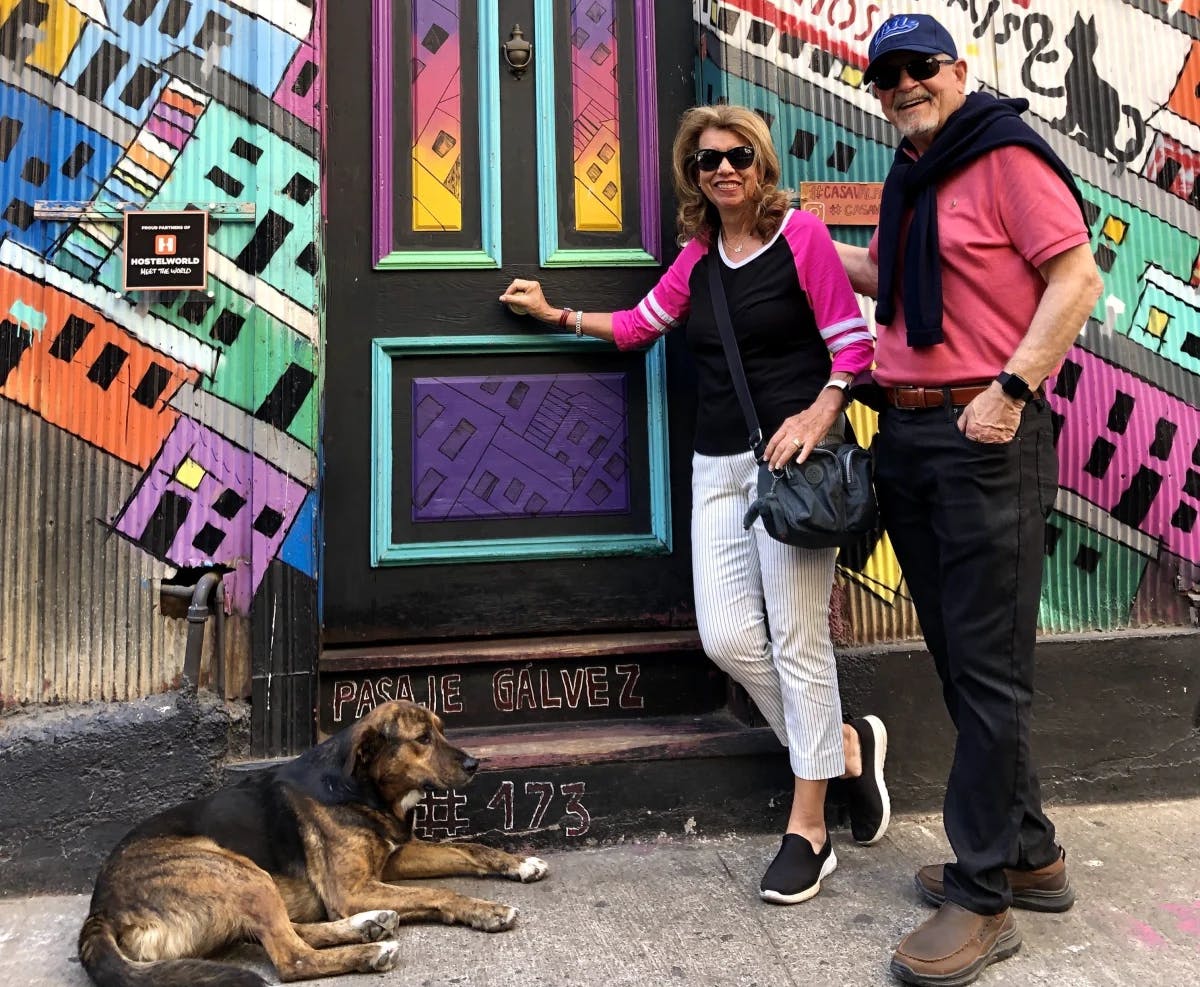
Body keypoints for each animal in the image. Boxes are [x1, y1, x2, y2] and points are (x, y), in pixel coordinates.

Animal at [82, 701, 549, 984]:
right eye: (422, 739)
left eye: (441, 730)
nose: (475, 764)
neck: (359, 787)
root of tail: (101, 909)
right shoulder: (351, 890)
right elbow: (442, 893)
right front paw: (486, 910)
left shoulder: (393, 859)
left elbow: (469, 848)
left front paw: (520, 862)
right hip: (238, 870)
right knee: (292, 958)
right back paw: (371, 950)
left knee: (285, 933)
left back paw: (367, 925)